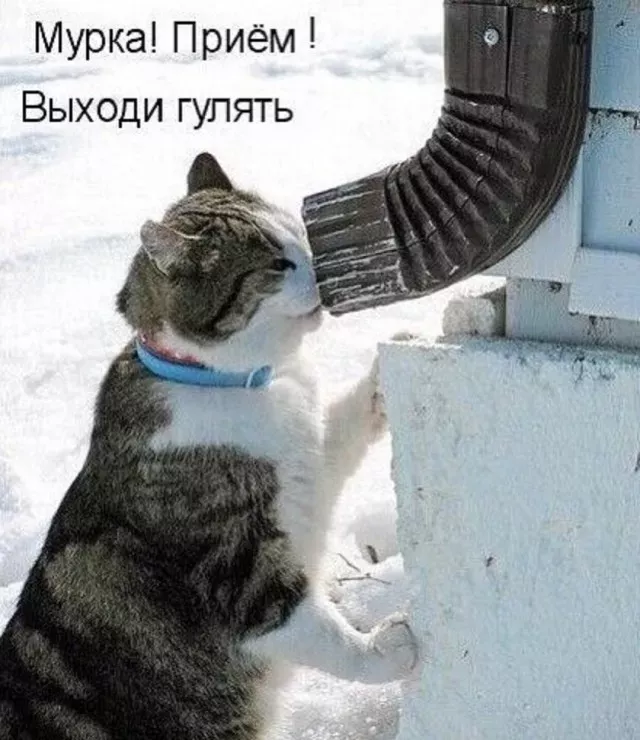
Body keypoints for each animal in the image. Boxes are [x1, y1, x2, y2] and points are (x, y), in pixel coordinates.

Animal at [0, 153, 417, 739]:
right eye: (276, 264)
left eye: (300, 237)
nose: (321, 266)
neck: (233, 383)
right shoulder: (236, 570)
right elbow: (306, 625)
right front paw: (382, 647)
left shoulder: (308, 469)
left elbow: (338, 433)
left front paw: (391, 360)